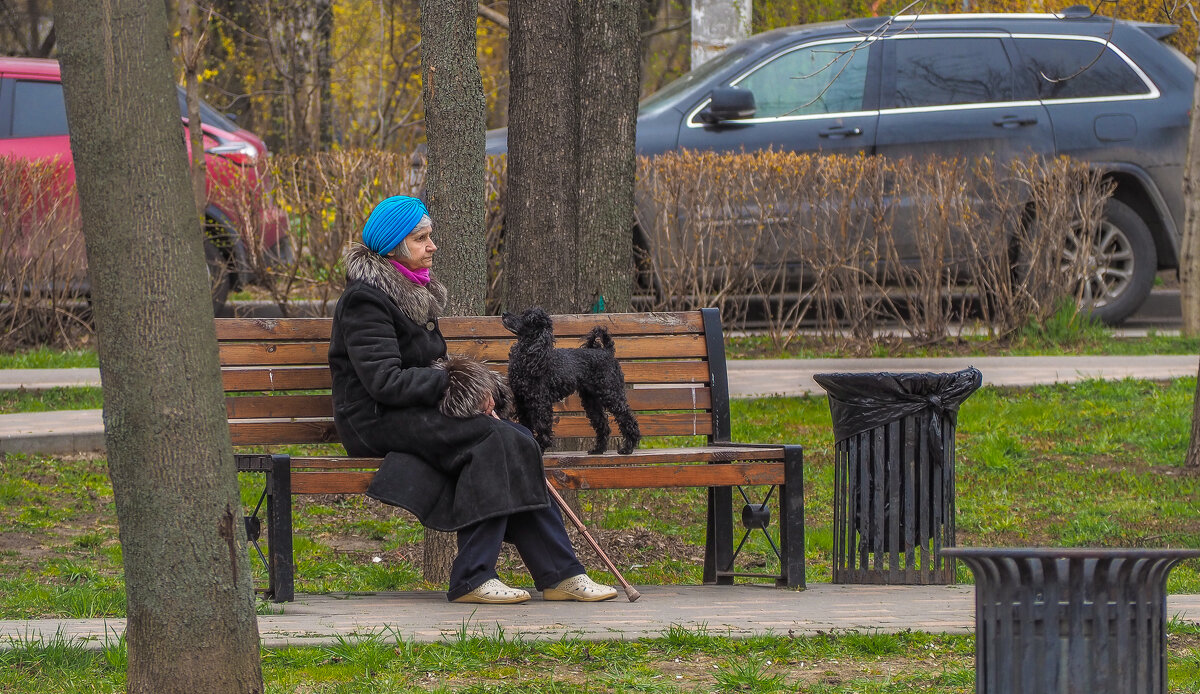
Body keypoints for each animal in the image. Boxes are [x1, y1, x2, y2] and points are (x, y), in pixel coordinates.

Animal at [501, 306, 643, 453]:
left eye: (527, 317)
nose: (504, 313)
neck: (531, 355)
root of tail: (607, 352)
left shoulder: (541, 401)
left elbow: (542, 426)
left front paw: (541, 447)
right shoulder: (522, 400)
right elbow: (526, 425)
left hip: (611, 393)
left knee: (627, 418)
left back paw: (628, 447)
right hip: (591, 400)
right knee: (603, 423)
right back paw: (598, 449)